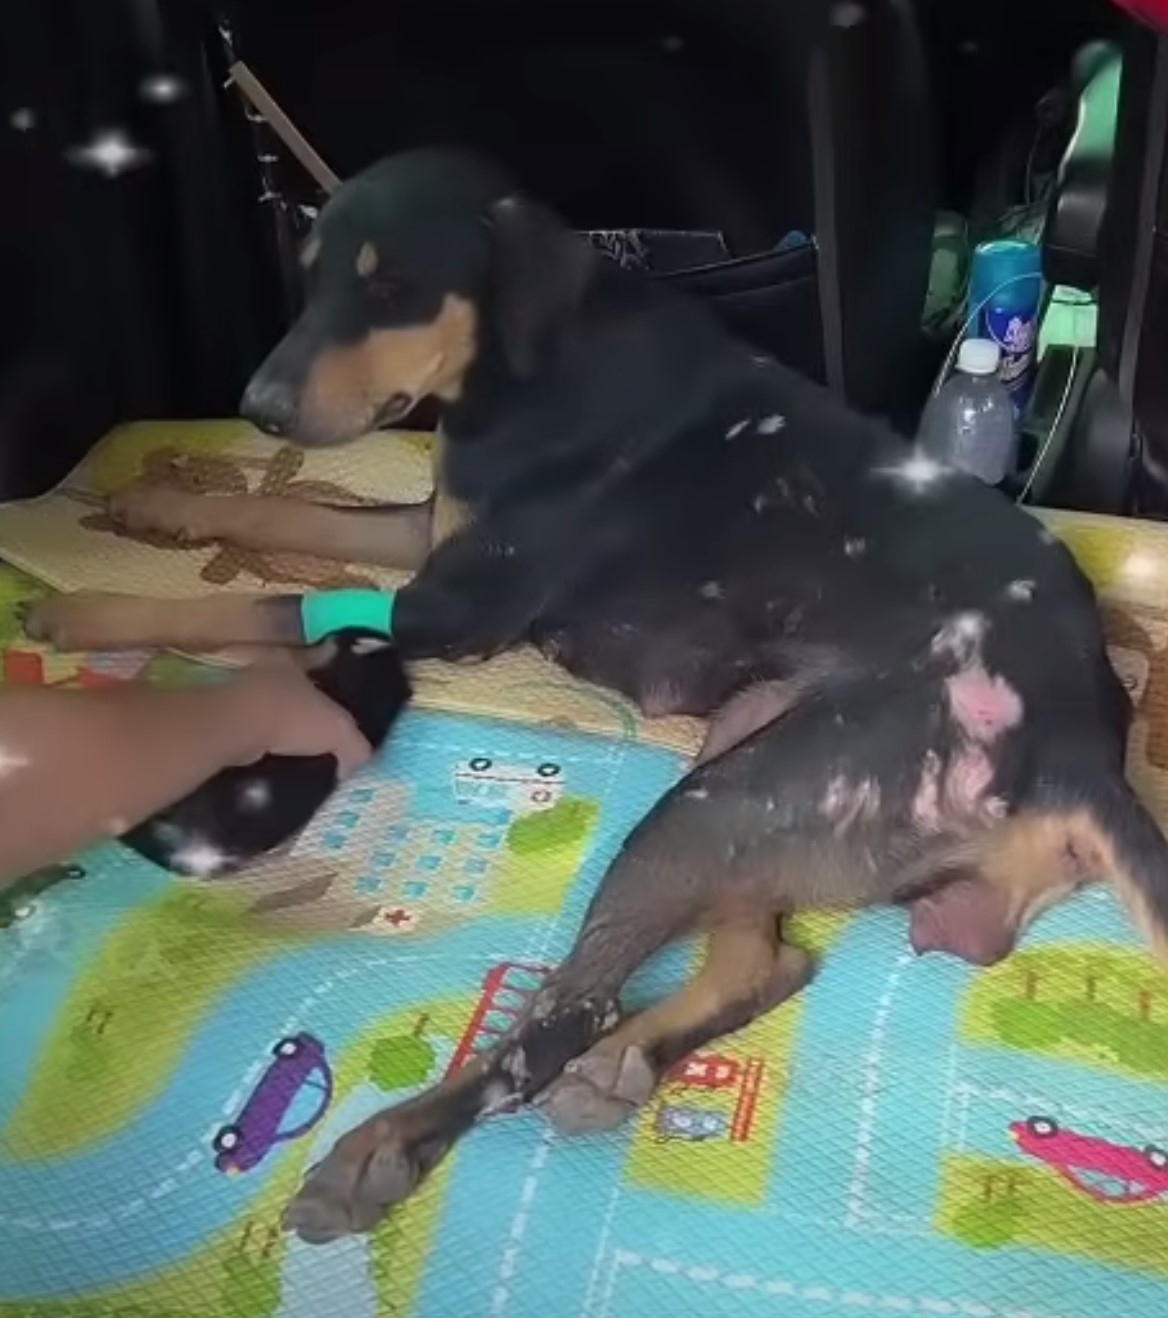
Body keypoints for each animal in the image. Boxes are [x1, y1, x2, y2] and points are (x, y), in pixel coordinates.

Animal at [22, 149, 1168, 1238]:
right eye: (308, 282)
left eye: (392, 287)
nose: (256, 410)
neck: (529, 369)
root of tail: (1082, 749)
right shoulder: (429, 535)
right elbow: (296, 516)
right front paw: (157, 507)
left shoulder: (447, 608)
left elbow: (264, 608)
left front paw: (88, 612)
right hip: (750, 762)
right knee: (763, 967)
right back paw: (625, 1065)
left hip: (721, 800)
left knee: (553, 1029)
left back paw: (387, 1148)